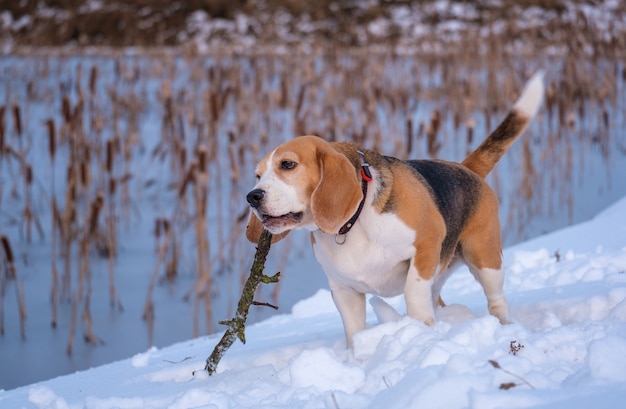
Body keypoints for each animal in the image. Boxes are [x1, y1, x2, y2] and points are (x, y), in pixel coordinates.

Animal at [244, 73, 540, 348]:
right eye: (258, 175)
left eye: (288, 164)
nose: (252, 196)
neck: (354, 221)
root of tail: (465, 168)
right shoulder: (344, 290)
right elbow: (354, 332)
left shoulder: (426, 245)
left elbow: (413, 292)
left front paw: (419, 332)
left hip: (484, 258)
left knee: (496, 299)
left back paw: (504, 326)